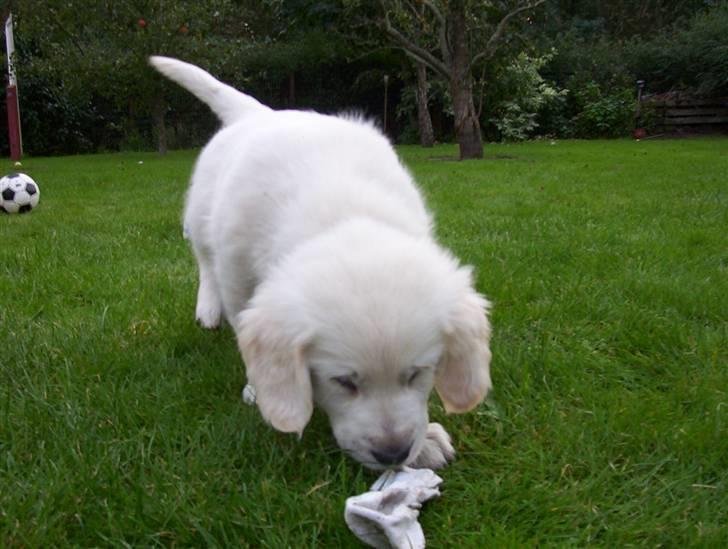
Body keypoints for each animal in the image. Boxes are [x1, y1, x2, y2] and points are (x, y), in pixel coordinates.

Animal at [149, 55, 492, 468]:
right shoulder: (237, 270)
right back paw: (208, 309)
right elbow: (243, 320)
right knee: (203, 260)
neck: (342, 213)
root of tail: (260, 113)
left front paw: (425, 442)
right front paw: (258, 390)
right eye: (342, 382)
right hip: (202, 214)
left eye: (416, 374)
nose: (392, 454)